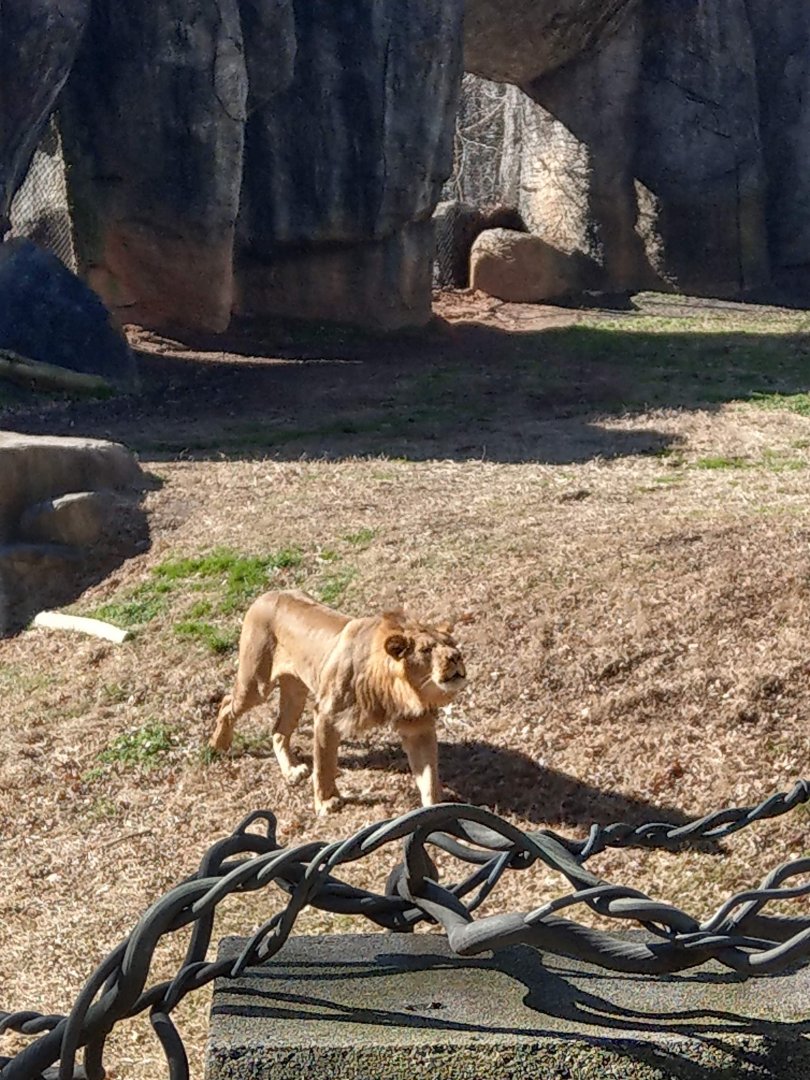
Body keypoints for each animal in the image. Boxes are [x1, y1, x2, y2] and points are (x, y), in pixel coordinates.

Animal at [210, 589, 467, 814]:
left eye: (453, 645)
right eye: (426, 650)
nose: (455, 657)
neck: (398, 690)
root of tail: (266, 594)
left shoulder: (417, 726)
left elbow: (429, 776)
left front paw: (436, 811)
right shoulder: (326, 714)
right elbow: (324, 762)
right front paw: (327, 802)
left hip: (295, 692)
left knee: (278, 730)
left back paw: (291, 770)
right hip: (256, 684)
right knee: (227, 703)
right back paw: (218, 744)